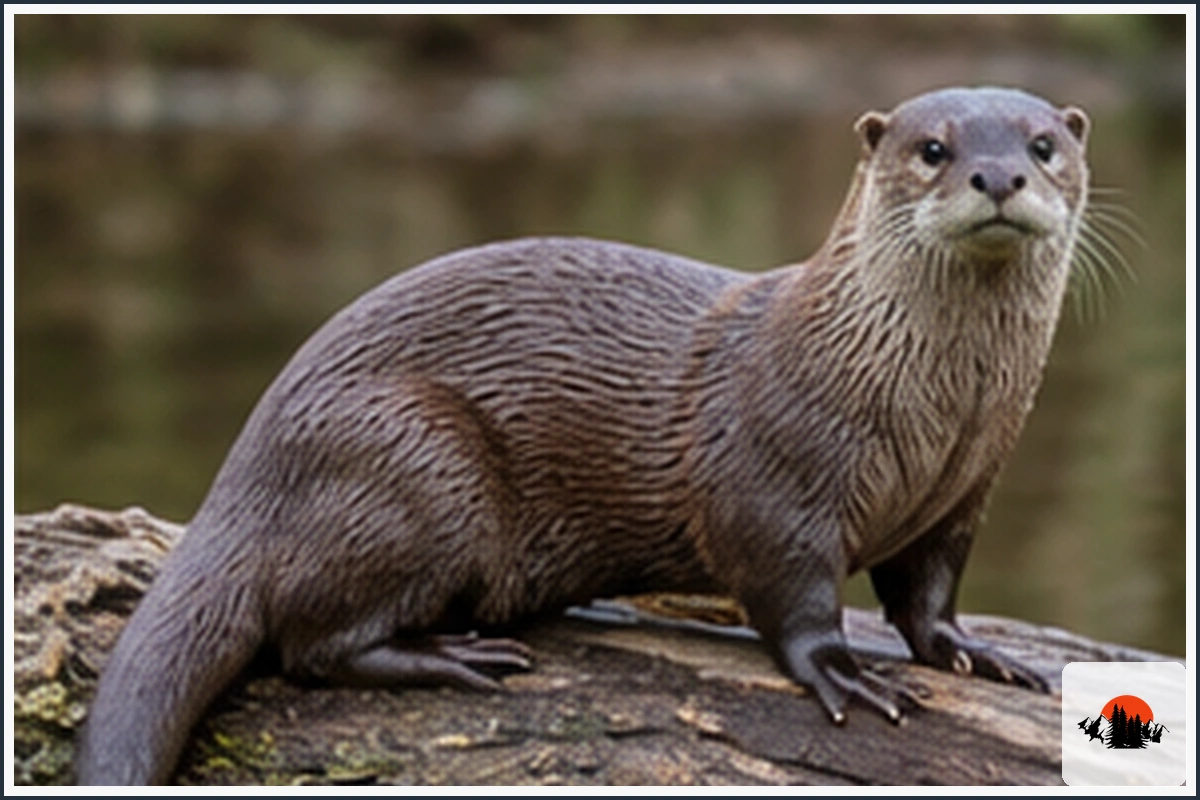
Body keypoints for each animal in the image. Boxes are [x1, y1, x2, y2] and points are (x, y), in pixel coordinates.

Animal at [76, 87, 1091, 785]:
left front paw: (982, 654)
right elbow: (791, 595)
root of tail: (247, 467)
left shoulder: (964, 492)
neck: (935, 419)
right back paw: (455, 656)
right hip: (413, 458)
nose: (998, 176)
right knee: (311, 644)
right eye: (933, 149)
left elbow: (928, 597)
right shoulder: (774, 480)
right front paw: (845, 674)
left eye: (1043, 146)